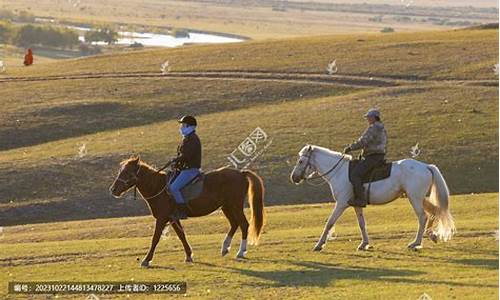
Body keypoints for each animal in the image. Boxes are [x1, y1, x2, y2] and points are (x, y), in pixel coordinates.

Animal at [109, 156, 266, 266]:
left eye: (127, 172)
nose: (113, 190)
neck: (158, 186)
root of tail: (241, 173)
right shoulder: (173, 218)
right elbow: (182, 236)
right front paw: (189, 255)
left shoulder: (162, 218)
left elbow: (155, 238)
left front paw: (146, 260)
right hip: (226, 207)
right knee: (234, 224)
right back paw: (225, 248)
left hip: (235, 206)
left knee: (244, 224)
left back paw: (241, 252)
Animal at [290, 145, 458, 251]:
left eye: (301, 161)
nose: (294, 178)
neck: (338, 172)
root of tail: (426, 166)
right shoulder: (356, 205)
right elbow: (362, 224)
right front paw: (364, 244)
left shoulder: (341, 203)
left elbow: (329, 223)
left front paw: (319, 245)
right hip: (418, 197)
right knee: (435, 211)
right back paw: (432, 235)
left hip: (415, 198)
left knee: (423, 217)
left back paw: (415, 243)